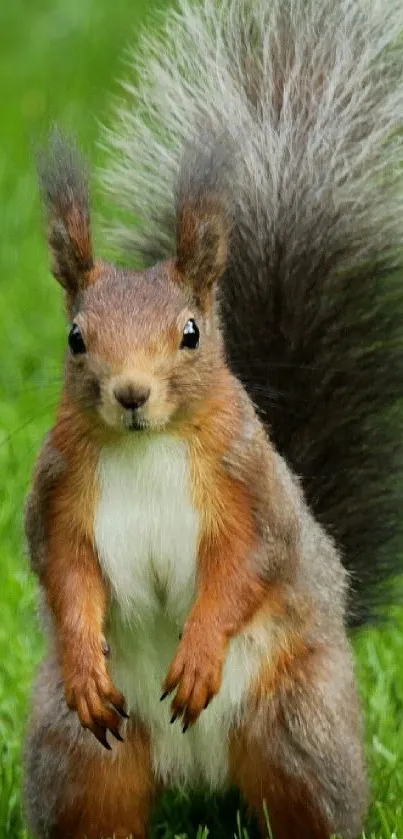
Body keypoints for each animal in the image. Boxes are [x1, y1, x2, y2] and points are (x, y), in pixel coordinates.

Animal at [22, 0, 403, 836]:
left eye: (190, 332)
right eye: (75, 337)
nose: (131, 393)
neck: (147, 446)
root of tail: (195, 771)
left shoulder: (249, 485)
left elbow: (245, 565)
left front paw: (198, 652)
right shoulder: (59, 491)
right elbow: (63, 568)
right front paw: (83, 653)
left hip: (297, 724)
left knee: (306, 802)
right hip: (78, 753)